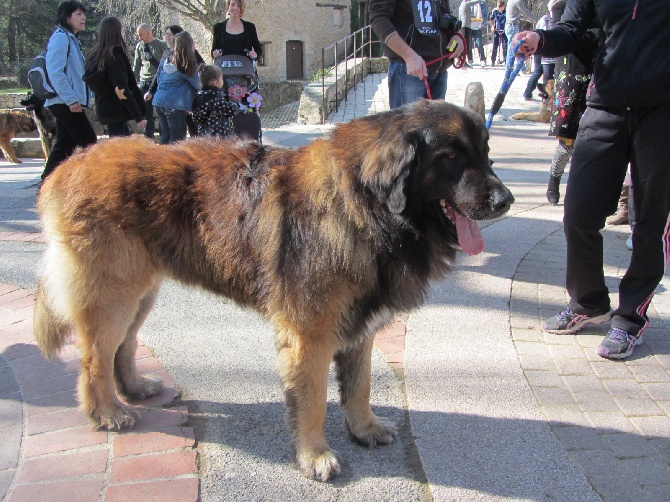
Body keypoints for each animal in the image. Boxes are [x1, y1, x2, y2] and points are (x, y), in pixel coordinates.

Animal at [35, 100, 516, 480]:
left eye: (487, 153)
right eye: (451, 157)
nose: (505, 200)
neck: (363, 207)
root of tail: (68, 165)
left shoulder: (360, 325)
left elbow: (359, 385)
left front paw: (364, 429)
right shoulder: (311, 335)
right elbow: (314, 399)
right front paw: (315, 455)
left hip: (141, 291)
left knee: (125, 345)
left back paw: (134, 389)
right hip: (113, 294)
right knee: (94, 358)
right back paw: (108, 413)